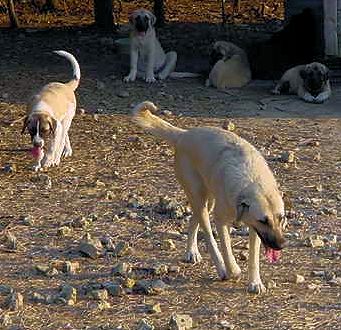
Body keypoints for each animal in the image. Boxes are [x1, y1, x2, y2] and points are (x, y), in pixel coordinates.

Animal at [131, 101, 286, 294]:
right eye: (264, 221)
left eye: (281, 218)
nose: (281, 245)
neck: (251, 181)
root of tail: (184, 135)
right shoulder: (222, 221)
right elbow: (226, 249)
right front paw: (233, 270)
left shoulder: (255, 229)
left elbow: (253, 257)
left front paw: (255, 282)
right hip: (200, 199)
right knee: (209, 238)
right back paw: (220, 268)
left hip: (207, 200)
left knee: (194, 219)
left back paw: (192, 252)